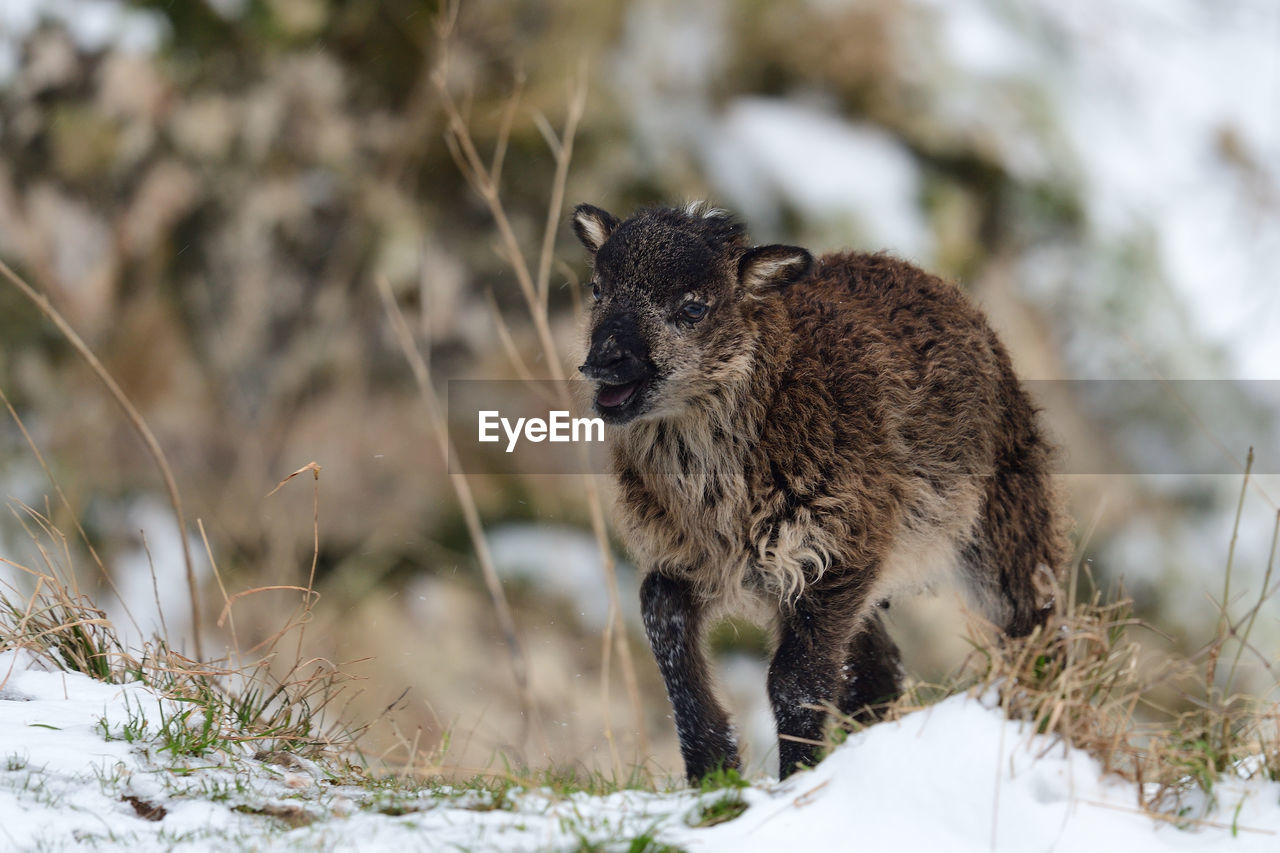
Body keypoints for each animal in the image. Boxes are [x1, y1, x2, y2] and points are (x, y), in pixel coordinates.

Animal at [570, 199, 1070, 778]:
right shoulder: (698, 558)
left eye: (694, 307)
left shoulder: (835, 550)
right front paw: (714, 768)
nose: (604, 361)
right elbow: (661, 620)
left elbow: (796, 681)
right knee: (881, 673)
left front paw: (794, 778)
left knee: (1035, 626)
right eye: (598, 288)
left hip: (1001, 519)